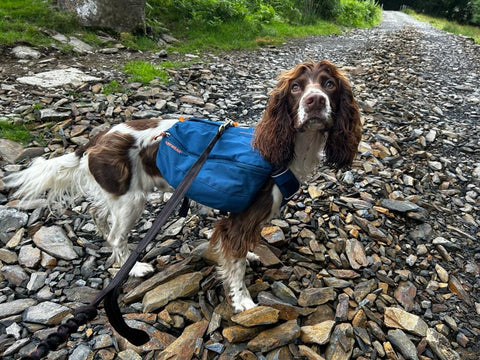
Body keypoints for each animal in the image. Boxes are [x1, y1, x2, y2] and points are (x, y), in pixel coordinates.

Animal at [5, 61, 360, 312]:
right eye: (297, 87)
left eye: (329, 84)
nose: (315, 101)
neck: (282, 149)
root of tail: (96, 139)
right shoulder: (239, 219)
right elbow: (234, 265)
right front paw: (242, 301)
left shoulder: (251, 217)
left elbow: (244, 248)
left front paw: (252, 255)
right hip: (131, 201)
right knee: (117, 236)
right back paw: (134, 269)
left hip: (116, 197)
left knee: (99, 217)